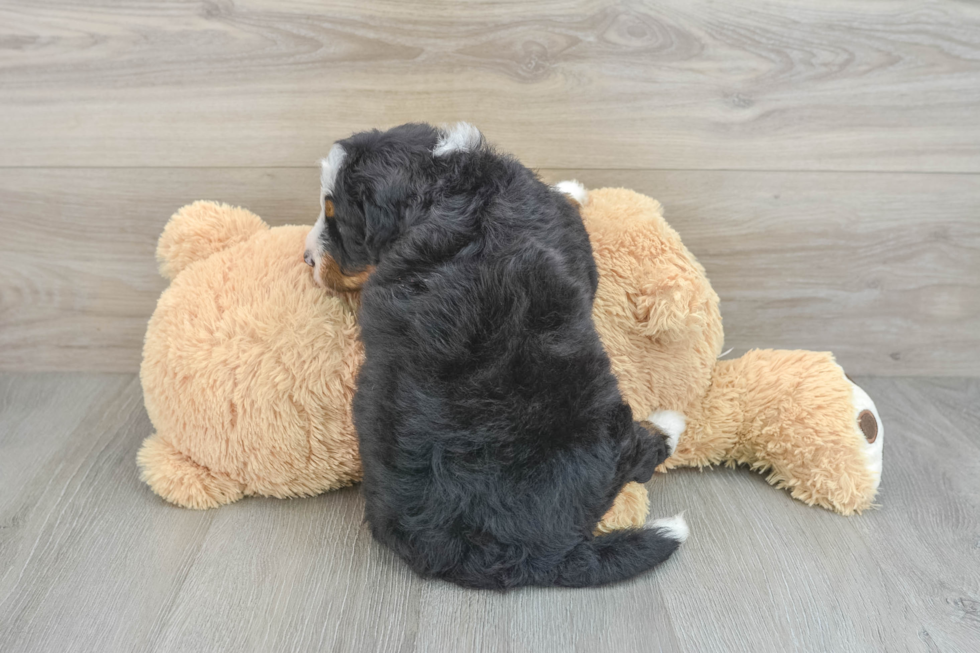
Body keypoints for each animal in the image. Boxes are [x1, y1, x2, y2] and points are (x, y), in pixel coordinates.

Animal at [306, 123, 688, 592]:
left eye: (337, 220)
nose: (306, 258)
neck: (443, 181)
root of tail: (523, 556)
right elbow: (565, 202)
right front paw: (573, 188)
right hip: (596, 419)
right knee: (632, 456)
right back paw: (667, 427)